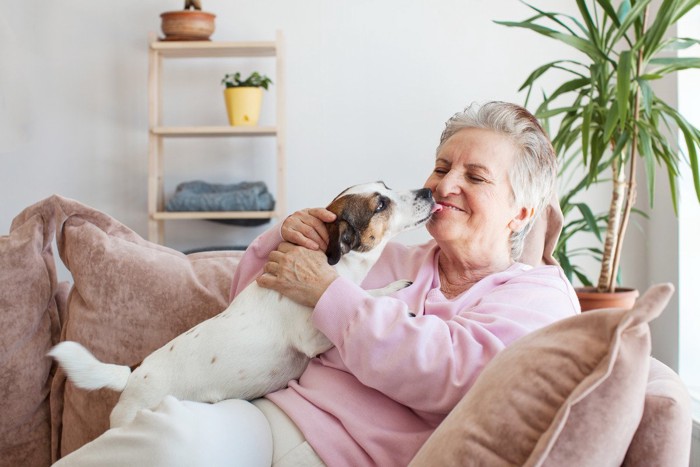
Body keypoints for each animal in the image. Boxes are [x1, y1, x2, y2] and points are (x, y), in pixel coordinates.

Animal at [49, 181, 438, 430]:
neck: (331, 261)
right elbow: (362, 297)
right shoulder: (312, 335)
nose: (428, 190)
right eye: (380, 204)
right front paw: (392, 299)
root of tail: (133, 374)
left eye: (387, 186)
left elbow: (364, 290)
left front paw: (393, 285)